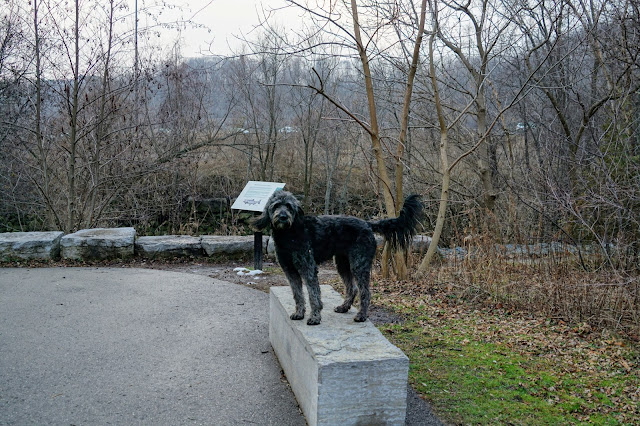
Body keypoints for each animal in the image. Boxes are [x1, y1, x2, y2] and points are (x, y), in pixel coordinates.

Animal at [252, 192, 422, 326]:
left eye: (288, 206)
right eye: (276, 206)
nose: (282, 216)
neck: (289, 233)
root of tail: (367, 224)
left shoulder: (308, 268)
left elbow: (313, 295)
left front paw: (315, 317)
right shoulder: (290, 270)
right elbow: (298, 294)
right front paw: (299, 313)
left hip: (359, 264)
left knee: (365, 292)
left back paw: (361, 316)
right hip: (342, 264)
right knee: (352, 288)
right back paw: (344, 307)